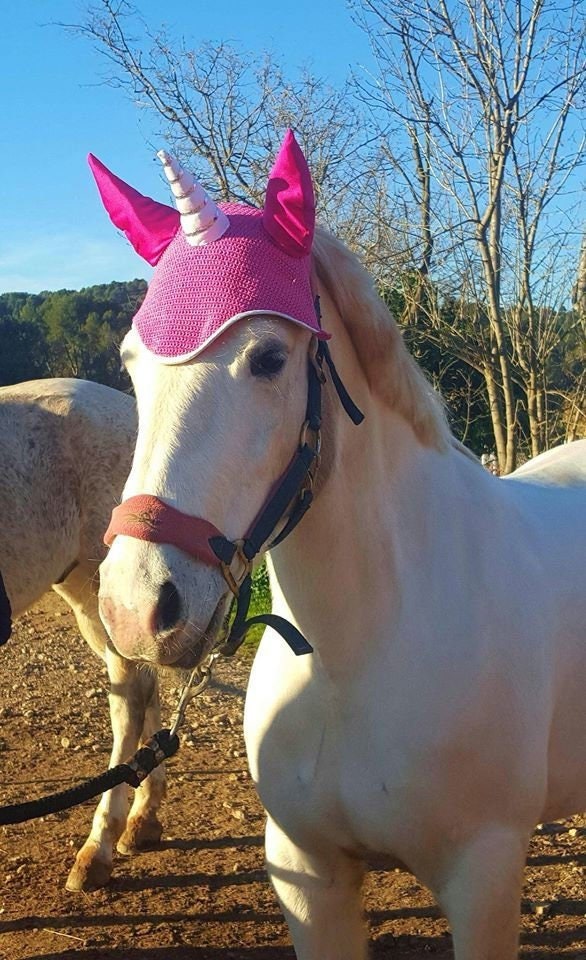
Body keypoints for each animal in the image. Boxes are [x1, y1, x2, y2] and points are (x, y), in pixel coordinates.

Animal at [92, 131, 586, 959]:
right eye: (132, 361)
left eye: (268, 358)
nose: (136, 608)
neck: (357, 655)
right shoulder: (308, 874)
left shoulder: (483, 879)